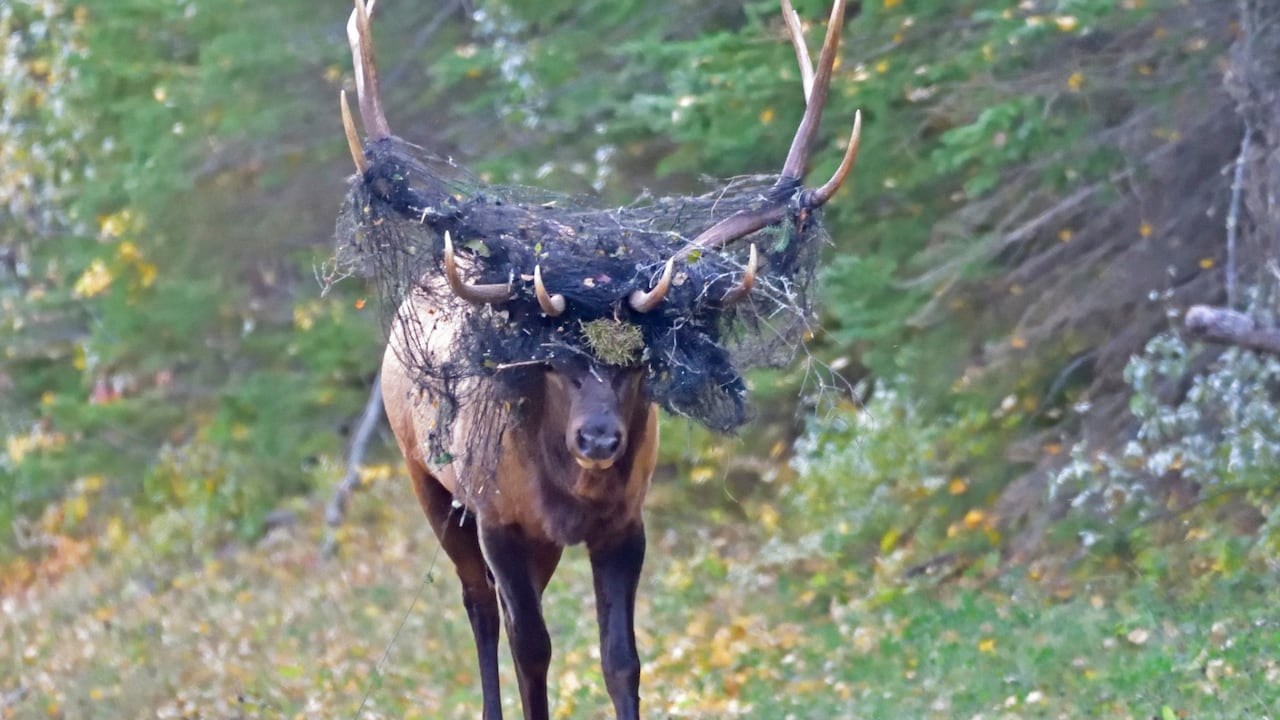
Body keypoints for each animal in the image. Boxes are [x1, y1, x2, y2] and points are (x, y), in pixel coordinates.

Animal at [338, 1, 861, 718]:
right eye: (555, 360)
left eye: (641, 361)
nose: (598, 438)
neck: (570, 489)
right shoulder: (497, 518)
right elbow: (531, 648)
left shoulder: (624, 523)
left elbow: (621, 659)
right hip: (429, 481)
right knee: (481, 609)